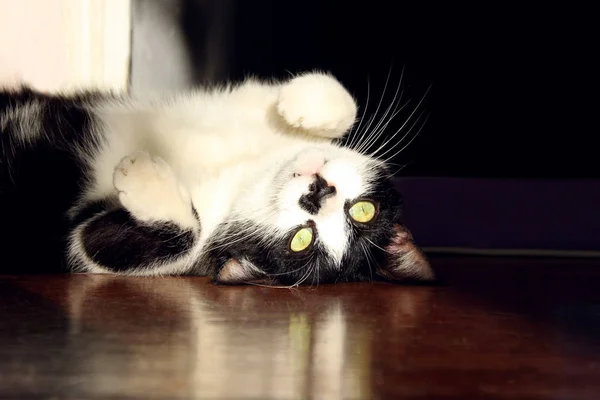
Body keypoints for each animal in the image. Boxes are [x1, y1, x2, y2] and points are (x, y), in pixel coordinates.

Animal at [0, 72, 434, 284]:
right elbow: (342, 100)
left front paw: (141, 175)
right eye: (364, 210)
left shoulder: (73, 243)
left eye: (300, 240)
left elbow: (94, 242)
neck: (242, 169)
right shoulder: (240, 108)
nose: (317, 194)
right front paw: (304, 104)